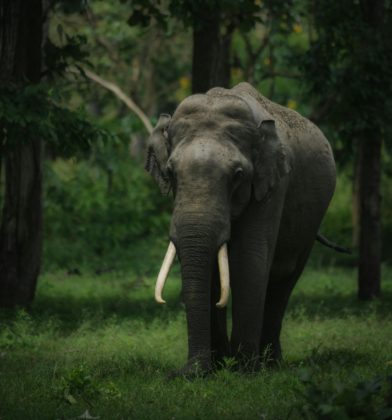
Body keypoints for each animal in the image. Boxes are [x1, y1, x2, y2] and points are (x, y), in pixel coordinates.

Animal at [145, 81, 336, 374]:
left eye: (238, 175)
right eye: (171, 173)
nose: (187, 373)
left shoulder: (272, 185)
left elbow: (248, 261)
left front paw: (242, 370)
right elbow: (211, 268)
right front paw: (212, 368)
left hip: (313, 219)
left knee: (284, 280)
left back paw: (270, 364)